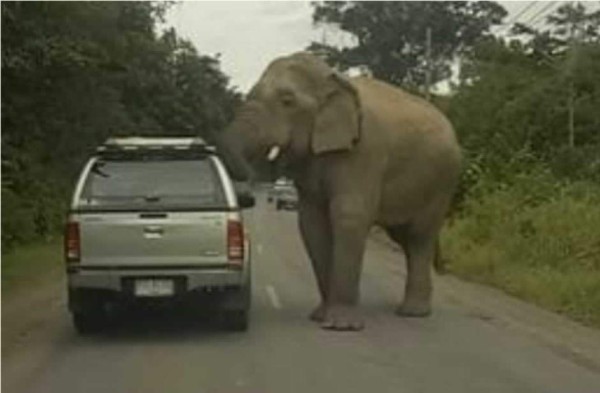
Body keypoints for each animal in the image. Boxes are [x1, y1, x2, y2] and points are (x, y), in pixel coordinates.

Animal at [214, 50, 460, 330]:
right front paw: (320, 316)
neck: (331, 78)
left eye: (287, 101)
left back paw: (413, 312)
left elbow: (349, 216)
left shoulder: (364, 151)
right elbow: (312, 223)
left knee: (419, 236)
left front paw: (341, 325)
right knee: (404, 238)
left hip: (443, 182)